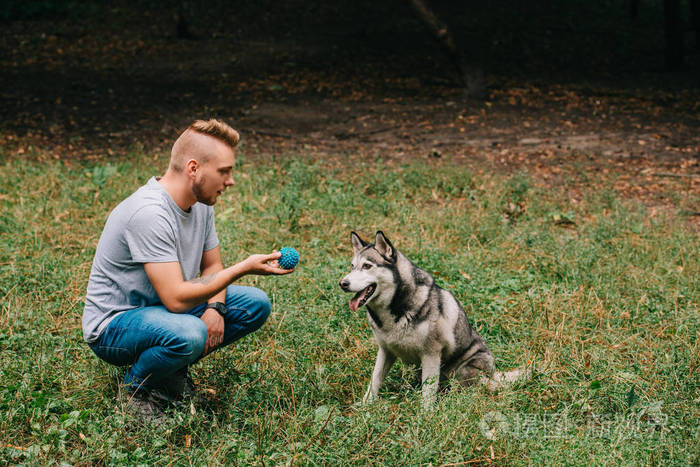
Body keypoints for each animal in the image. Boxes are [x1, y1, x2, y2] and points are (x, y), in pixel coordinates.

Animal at [340, 232, 524, 408]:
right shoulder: (385, 350)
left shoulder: (431, 354)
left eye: (367, 266)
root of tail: (494, 376)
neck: (396, 309)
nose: (343, 283)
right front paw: (366, 404)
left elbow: (428, 391)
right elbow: (375, 378)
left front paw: (425, 413)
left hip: (463, 370)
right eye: (352, 266)